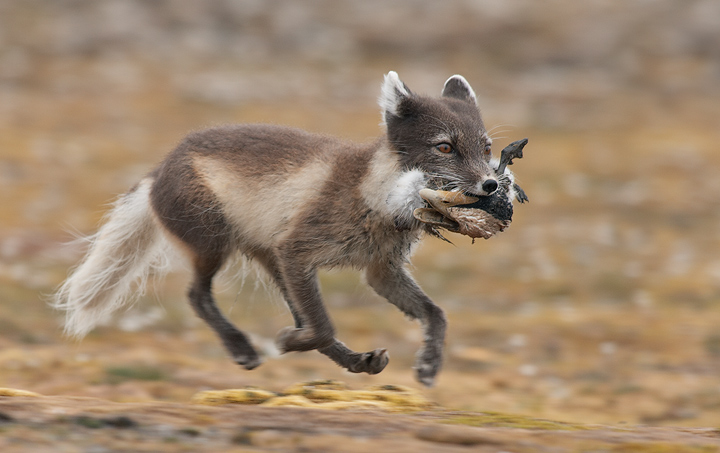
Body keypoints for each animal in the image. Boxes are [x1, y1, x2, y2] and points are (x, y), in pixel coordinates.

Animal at [53, 72, 519, 386]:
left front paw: (429, 364)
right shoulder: (298, 249)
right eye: (444, 147)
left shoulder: (379, 269)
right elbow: (323, 326)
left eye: (486, 148)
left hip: (272, 262)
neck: (375, 196)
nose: (492, 185)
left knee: (301, 317)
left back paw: (354, 360)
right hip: (218, 245)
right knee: (198, 296)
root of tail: (160, 166)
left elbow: (435, 314)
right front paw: (282, 342)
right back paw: (244, 347)